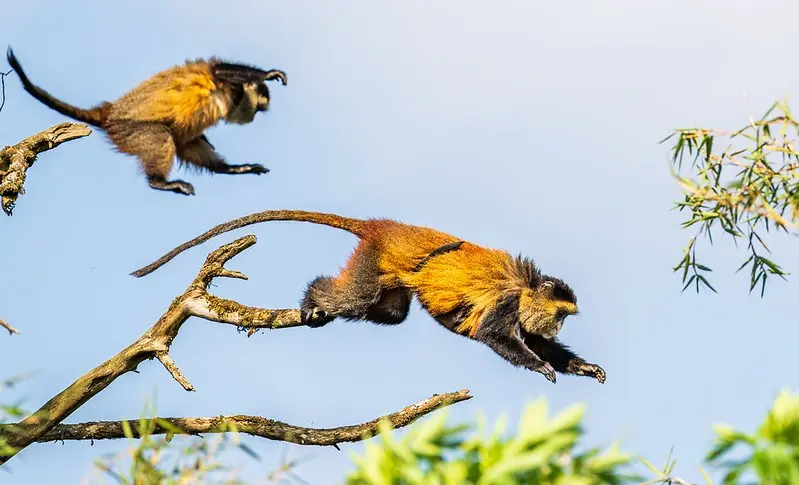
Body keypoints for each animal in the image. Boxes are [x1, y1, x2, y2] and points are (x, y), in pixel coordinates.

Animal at [5, 47, 287, 196]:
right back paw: (158, 182)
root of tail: (110, 112)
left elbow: (190, 142)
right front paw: (268, 73)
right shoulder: (228, 85)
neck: (231, 99)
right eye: (258, 110)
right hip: (128, 129)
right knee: (160, 136)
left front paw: (233, 167)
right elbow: (218, 71)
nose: (252, 116)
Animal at [130, 209, 606, 384]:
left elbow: (533, 339)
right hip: (371, 259)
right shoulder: (508, 301)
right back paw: (313, 297)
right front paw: (541, 366)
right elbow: (495, 335)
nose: (559, 326)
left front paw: (582, 365)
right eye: (562, 315)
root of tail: (385, 227)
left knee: (392, 311)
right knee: (355, 300)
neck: (525, 288)